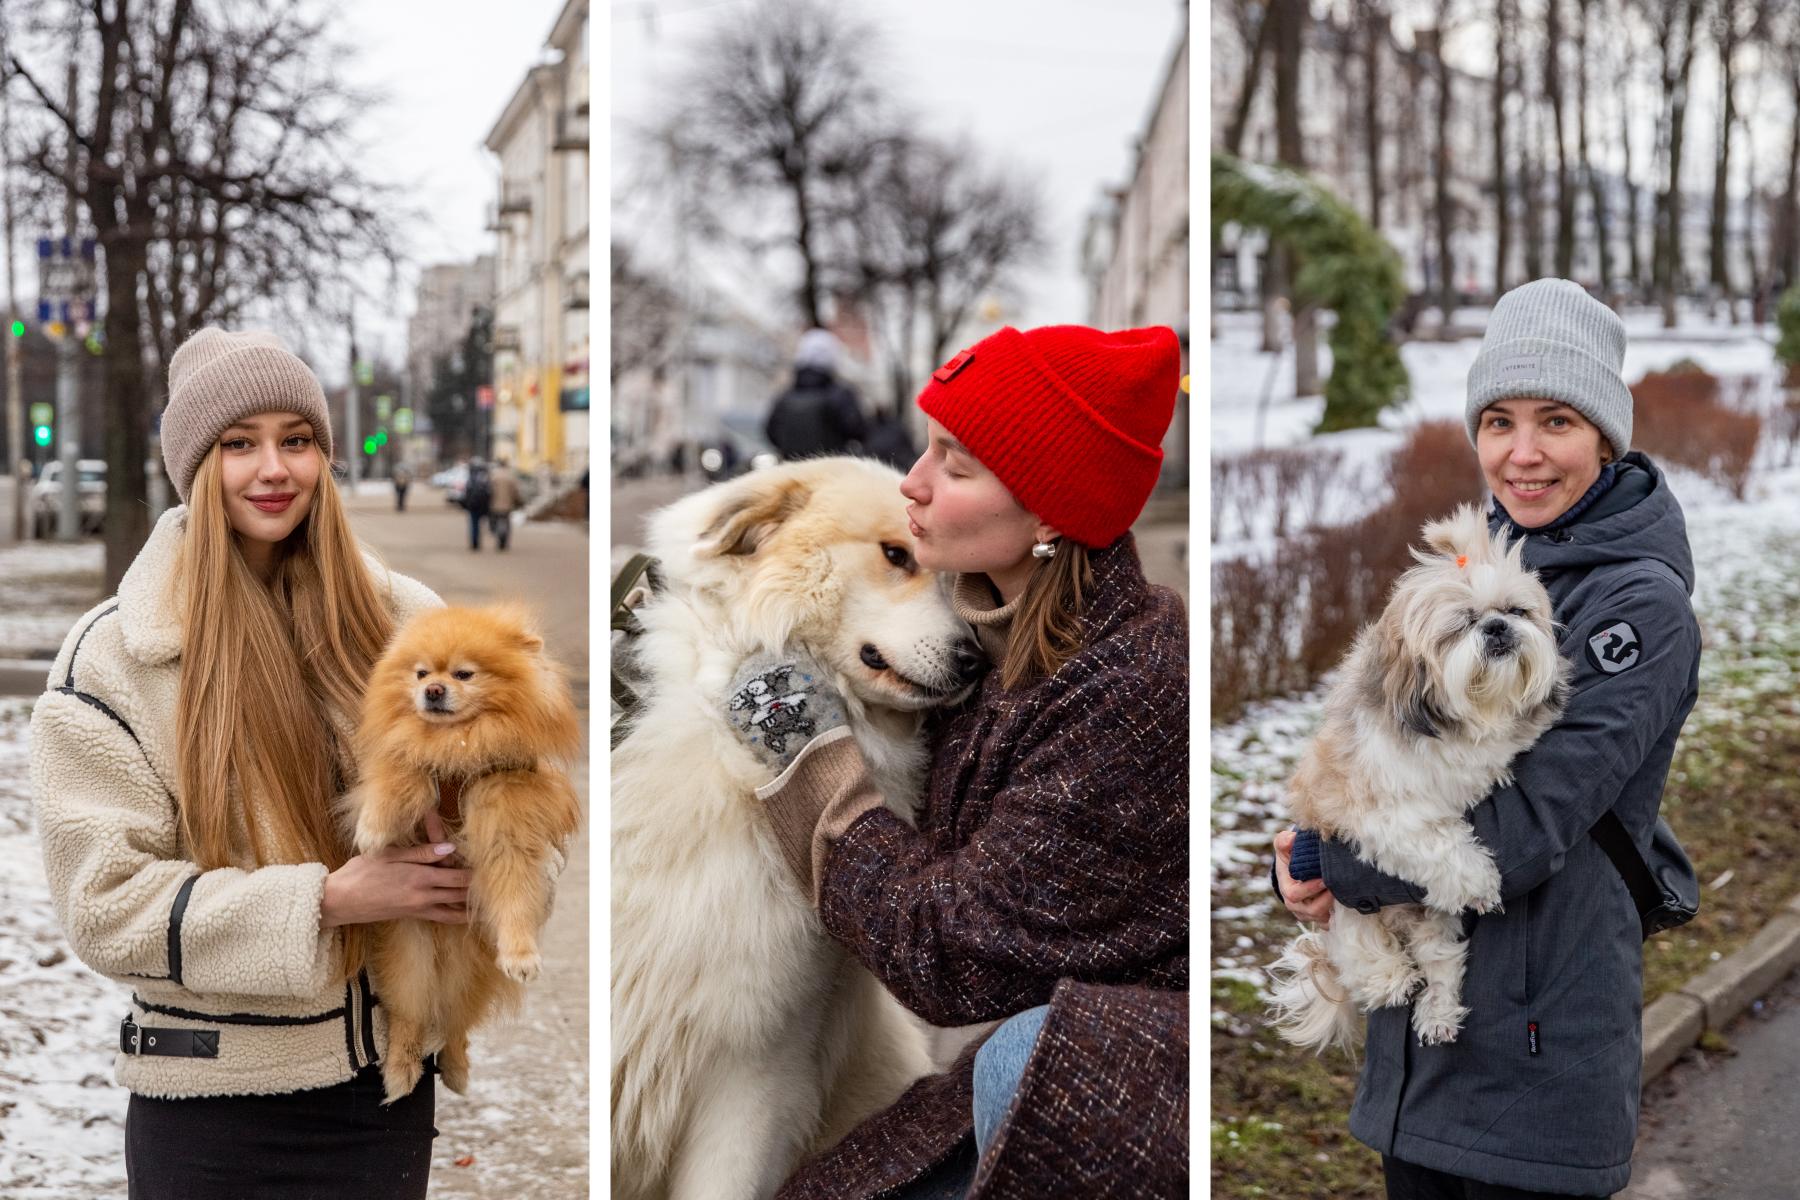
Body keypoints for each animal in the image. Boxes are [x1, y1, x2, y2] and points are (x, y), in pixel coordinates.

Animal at [347, 604, 579, 1101]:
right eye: (420, 674)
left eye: (463, 674)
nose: (432, 691)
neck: (459, 744)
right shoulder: (408, 755)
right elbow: (397, 774)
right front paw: (372, 830)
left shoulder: (509, 823)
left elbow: (515, 896)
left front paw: (521, 956)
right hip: (411, 956)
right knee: (410, 1015)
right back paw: (400, 1071)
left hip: (468, 969)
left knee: (455, 1020)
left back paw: (455, 1068)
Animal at [1274, 503, 1569, 1050]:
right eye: (1463, 623)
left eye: (1515, 611)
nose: (1497, 628)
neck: (1469, 716)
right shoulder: (1380, 812)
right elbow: (1436, 841)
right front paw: (1478, 880)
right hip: (1347, 911)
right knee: (1359, 950)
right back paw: (1391, 979)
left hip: (1432, 918)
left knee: (1441, 959)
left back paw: (1437, 1011)